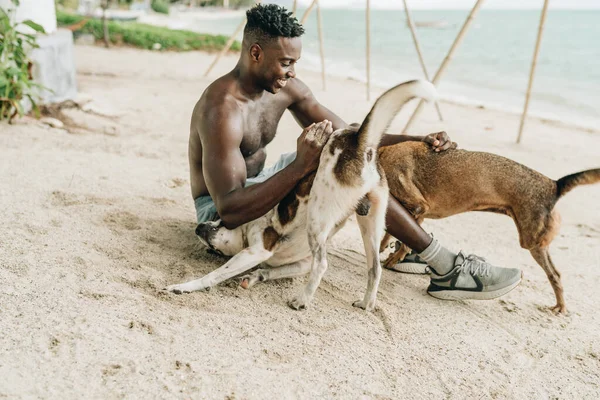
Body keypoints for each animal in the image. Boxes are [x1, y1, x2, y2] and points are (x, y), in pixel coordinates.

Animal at [380, 142, 600, 314]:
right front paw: (387, 250)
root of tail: (553, 185)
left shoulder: (418, 206)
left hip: (531, 241)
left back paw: (561, 306)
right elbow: (389, 234)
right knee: (556, 274)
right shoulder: (415, 212)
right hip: (536, 242)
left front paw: (394, 257)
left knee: (554, 274)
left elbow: (401, 240)